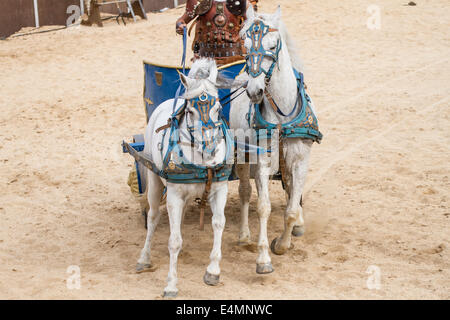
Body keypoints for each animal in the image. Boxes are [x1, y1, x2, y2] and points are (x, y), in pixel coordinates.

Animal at [135, 58, 230, 298]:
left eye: (219, 108)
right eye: (190, 111)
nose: (210, 148)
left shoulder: (219, 190)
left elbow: (218, 223)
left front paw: (213, 271)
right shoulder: (174, 195)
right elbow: (173, 240)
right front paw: (170, 284)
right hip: (154, 181)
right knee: (153, 216)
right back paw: (144, 258)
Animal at [230, 6, 322, 274]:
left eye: (273, 45)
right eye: (245, 46)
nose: (254, 91)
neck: (282, 115)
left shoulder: (300, 160)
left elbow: (290, 208)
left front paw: (282, 243)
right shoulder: (261, 161)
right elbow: (263, 206)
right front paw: (263, 259)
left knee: (290, 190)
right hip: (242, 157)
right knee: (244, 192)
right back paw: (244, 235)